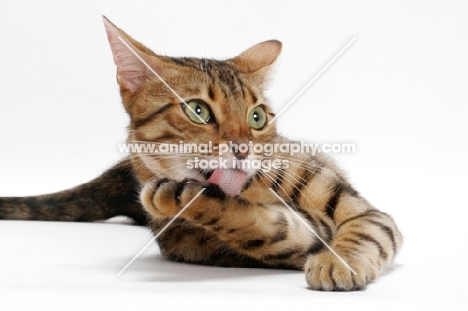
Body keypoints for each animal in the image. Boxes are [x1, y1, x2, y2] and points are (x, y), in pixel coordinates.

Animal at [0, 15, 402, 292]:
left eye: (257, 117)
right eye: (198, 111)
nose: (243, 149)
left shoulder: (367, 213)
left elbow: (363, 231)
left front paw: (340, 263)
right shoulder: (291, 240)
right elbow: (262, 229)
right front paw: (186, 199)